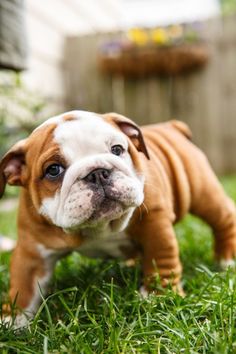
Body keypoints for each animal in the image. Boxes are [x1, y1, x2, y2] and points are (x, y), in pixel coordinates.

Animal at [0, 110, 236, 326]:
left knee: (223, 219)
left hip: (204, 192)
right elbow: (24, 287)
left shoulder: (155, 224)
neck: (100, 228)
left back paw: (227, 259)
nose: (97, 172)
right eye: (53, 170)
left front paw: (159, 296)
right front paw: (13, 320)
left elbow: (161, 259)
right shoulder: (32, 251)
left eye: (117, 149)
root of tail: (171, 126)